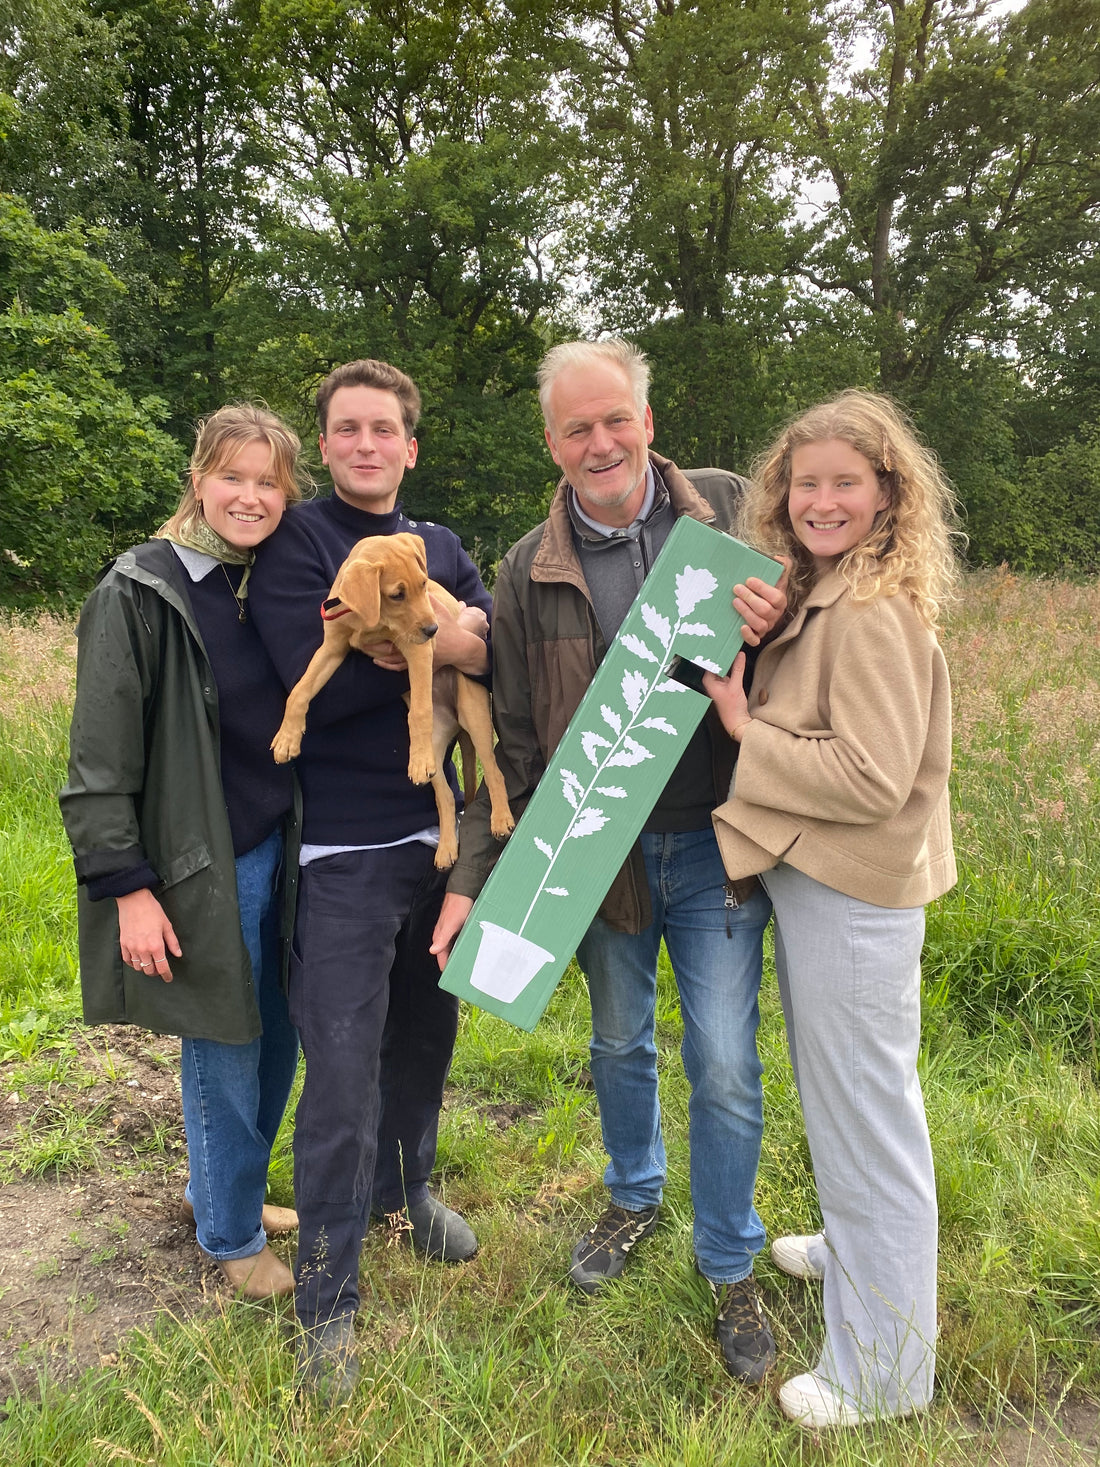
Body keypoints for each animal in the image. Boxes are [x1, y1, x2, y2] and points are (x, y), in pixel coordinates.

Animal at [275, 531, 516, 862]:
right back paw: (445, 849)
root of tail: (457, 725)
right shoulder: (331, 649)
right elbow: (300, 690)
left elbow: (420, 710)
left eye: (424, 584)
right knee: (444, 795)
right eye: (397, 595)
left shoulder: (417, 650)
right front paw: (286, 739)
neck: (372, 621)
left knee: (493, 771)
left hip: (475, 715)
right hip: (438, 748)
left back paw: (500, 820)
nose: (434, 629)